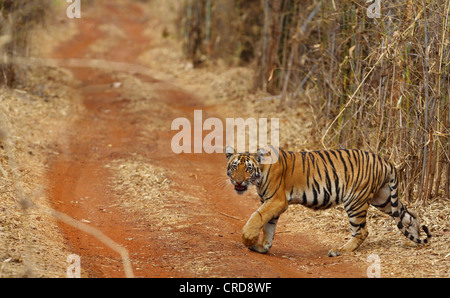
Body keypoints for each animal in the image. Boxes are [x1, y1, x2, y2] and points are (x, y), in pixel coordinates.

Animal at [227, 146, 430, 256]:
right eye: (235, 167)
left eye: (248, 169)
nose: (238, 182)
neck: (259, 175)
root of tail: (384, 160)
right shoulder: (272, 203)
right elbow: (268, 226)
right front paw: (262, 247)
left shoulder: (276, 200)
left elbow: (257, 216)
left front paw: (248, 238)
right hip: (383, 198)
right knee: (409, 214)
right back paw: (417, 236)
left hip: (355, 200)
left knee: (362, 231)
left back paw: (340, 250)